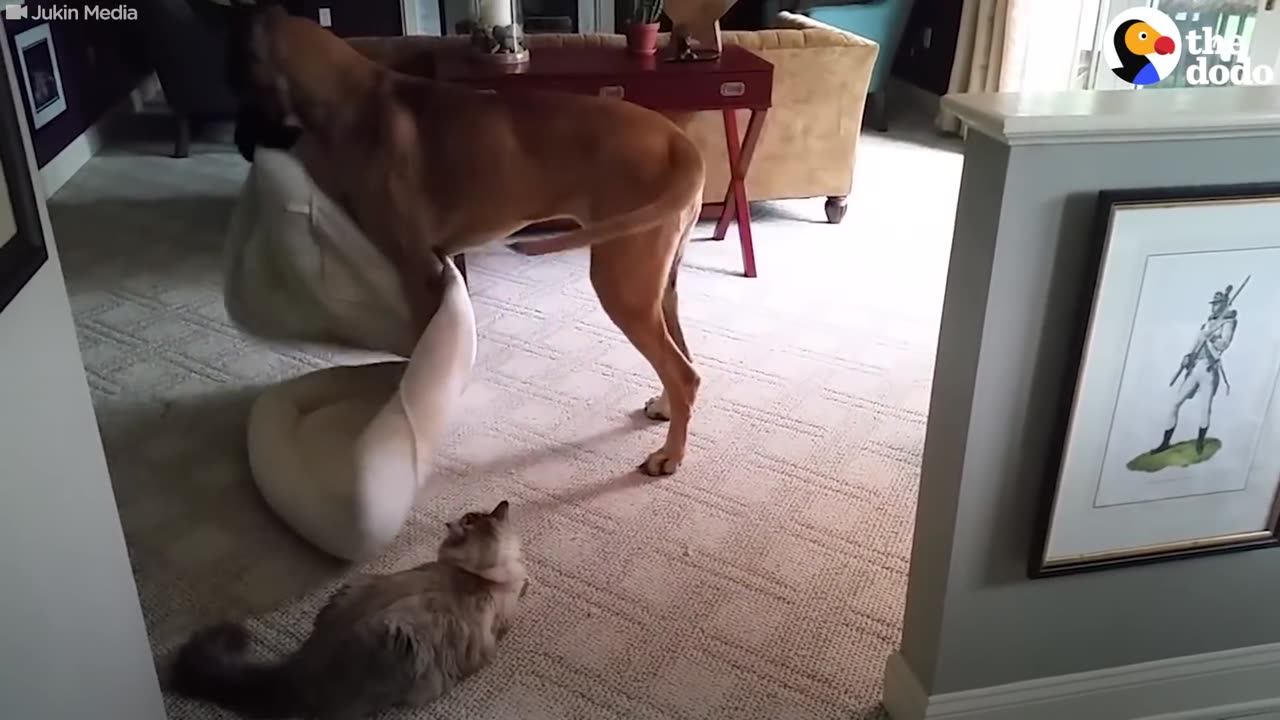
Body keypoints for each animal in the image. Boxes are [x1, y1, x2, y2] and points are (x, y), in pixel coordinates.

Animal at [235, 8, 706, 476]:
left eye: (236, 80)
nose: (240, 144)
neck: (350, 99)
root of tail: (680, 142)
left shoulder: (416, 270)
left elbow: (420, 344)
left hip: (622, 284)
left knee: (683, 374)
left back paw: (671, 454)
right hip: (656, 284)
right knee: (684, 364)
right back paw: (666, 408)